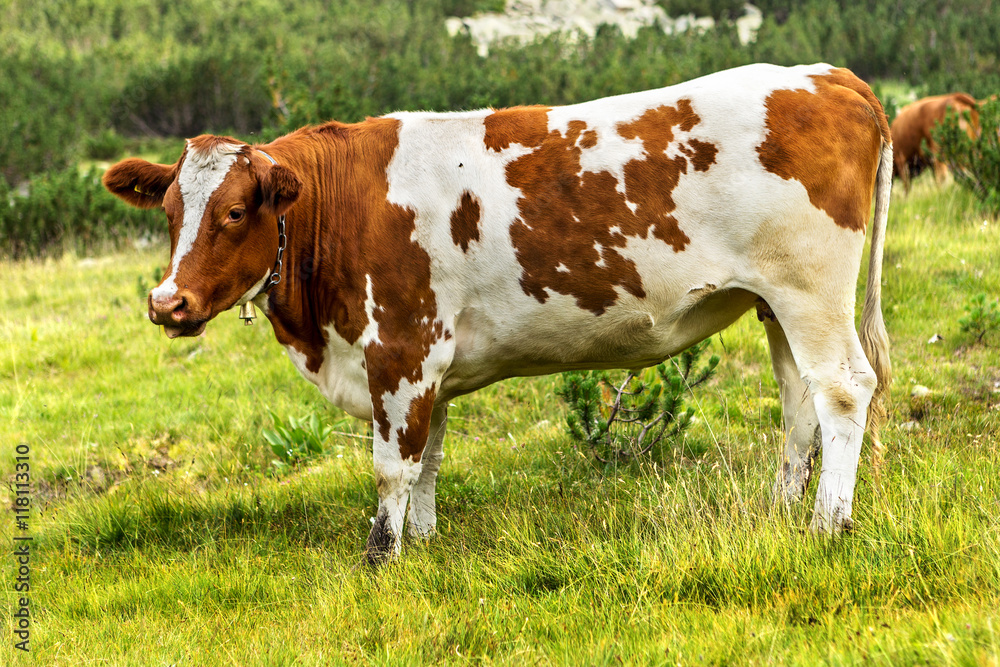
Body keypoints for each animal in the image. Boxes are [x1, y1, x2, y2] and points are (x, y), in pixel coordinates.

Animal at [105, 61, 896, 564]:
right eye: (169, 210)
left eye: (236, 211)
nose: (167, 301)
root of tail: (829, 76)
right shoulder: (428, 362)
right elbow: (427, 456)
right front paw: (422, 542)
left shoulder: (400, 348)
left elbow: (393, 466)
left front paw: (381, 556)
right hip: (773, 303)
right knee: (798, 403)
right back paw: (783, 508)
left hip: (810, 290)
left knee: (842, 389)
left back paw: (828, 523)